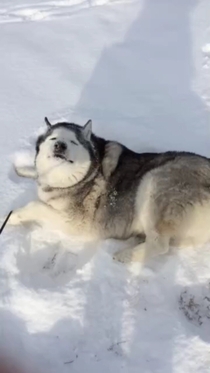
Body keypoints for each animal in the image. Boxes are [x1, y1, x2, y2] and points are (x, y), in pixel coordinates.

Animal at [7, 117, 210, 264]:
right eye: (53, 138)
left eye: (73, 141)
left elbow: (34, 205)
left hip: (153, 181)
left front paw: (8, 218)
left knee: (159, 244)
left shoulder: (76, 223)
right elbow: (35, 175)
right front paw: (22, 169)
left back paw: (126, 255)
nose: (60, 146)